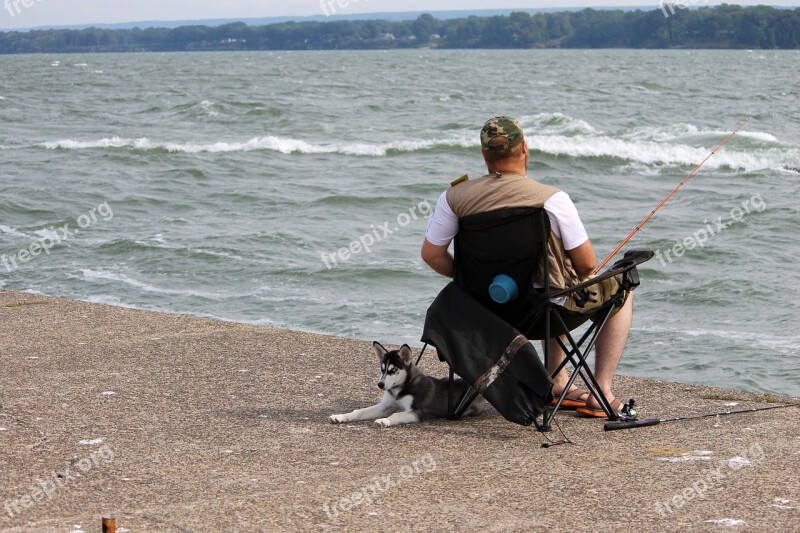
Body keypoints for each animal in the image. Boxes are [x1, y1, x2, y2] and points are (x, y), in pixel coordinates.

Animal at [326, 342, 488, 426]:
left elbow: (396, 414)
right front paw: (341, 417)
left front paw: (385, 420)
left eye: (393, 370)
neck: (400, 388)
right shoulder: (385, 406)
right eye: (382, 369)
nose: (380, 385)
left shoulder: (416, 411)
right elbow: (359, 411)